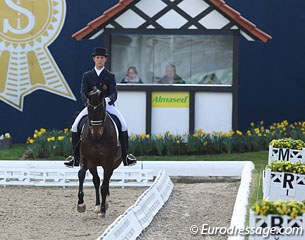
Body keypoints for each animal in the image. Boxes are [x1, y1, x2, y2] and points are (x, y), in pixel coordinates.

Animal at [76, 86, 121, 218]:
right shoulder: (86, 158)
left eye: (102, 109)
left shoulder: (108, 161)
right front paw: (81, 204)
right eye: (89, 109)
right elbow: (81, 175)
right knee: (96, 181)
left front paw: (102, 211)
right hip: (93, 164)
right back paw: (97, 205)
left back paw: (103, 205)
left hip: (113, 164)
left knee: (106, 181)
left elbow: (104, 186)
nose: (96, 134)